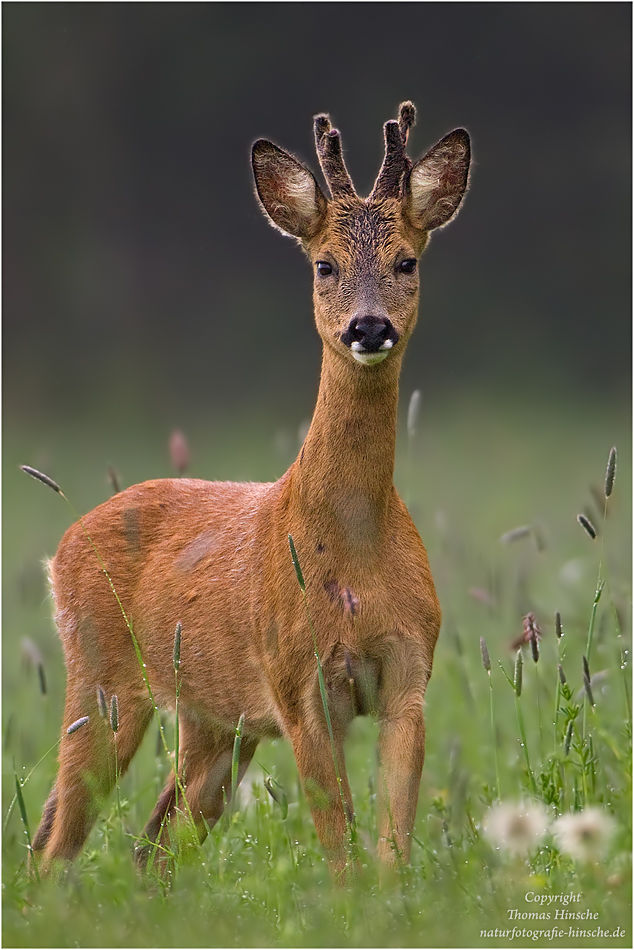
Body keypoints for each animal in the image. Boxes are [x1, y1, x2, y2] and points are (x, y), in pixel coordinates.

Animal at [30, 100, 470, 880]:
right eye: (324, 264)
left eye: (407, 261)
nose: (369, 327)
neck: (352, 553)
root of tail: (63, 548)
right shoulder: (297, 684)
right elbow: (338, 838)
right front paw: (347, 899)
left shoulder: (408, 676)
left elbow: (392, 844)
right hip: (102, 680)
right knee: (59, 842)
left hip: (214, 722)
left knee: (150, 844)